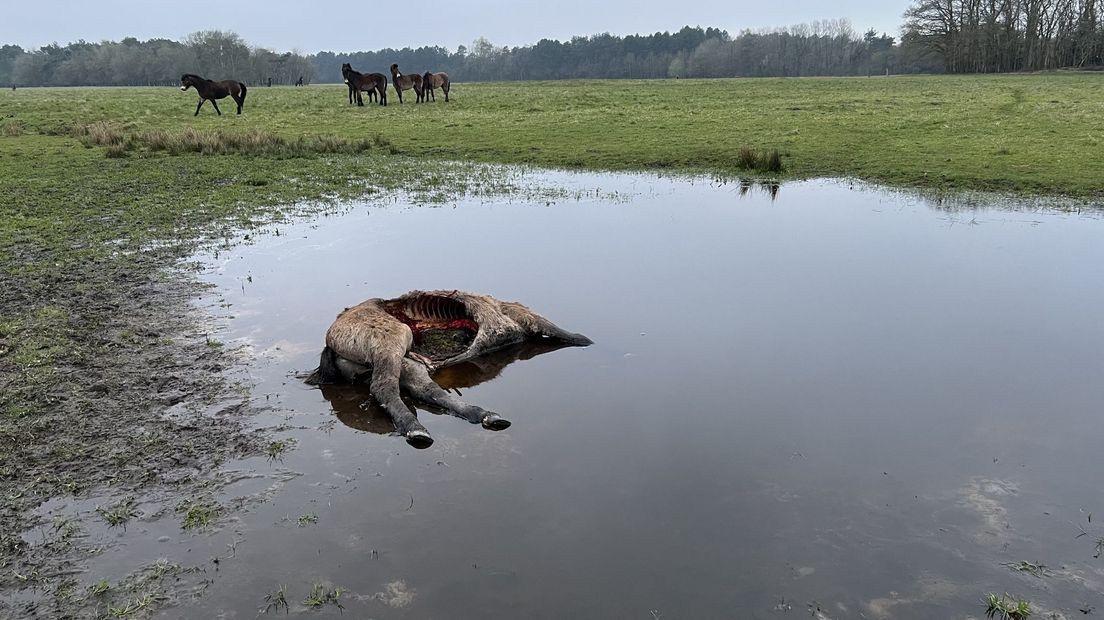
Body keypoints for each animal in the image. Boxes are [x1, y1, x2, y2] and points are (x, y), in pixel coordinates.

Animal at [306, 289, 591, 443]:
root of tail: (330, 340)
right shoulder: (520, 312)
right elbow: (564, 332)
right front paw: (585, 340)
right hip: (392, 340)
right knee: (384, 387)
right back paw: (416, 430)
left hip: (409, 361)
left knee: (428, 391)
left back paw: (484, 415)